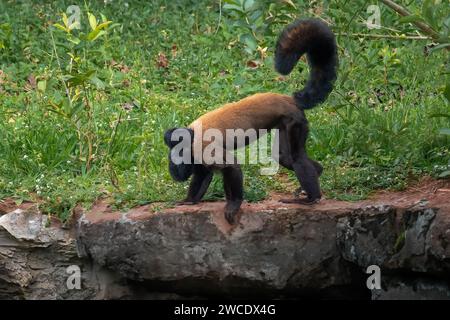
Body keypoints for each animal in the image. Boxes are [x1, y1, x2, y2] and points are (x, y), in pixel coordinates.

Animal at [164, 18, 338, 224]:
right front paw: (190, 200)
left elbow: (231, 166)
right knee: (284, 156)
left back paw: (312, 198)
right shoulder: (197, 154)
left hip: (294, 120)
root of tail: (290, 100)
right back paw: (317, 171)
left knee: (295, 158)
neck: (190, 137)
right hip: (285, 122)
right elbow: (203, 174)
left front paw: (234, 204)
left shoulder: (202, 147)